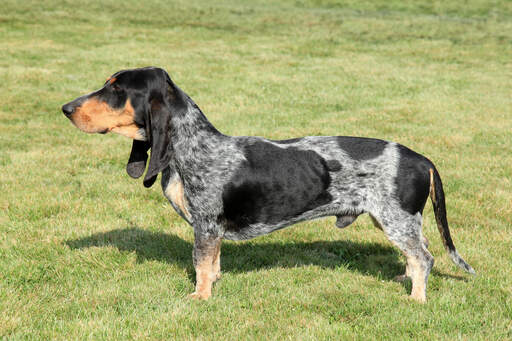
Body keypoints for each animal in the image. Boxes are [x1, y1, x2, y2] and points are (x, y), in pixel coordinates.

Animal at [61, 65, 476, 300]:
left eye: (116, 89)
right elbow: (212, 264)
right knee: (418, 253)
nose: (65, 108)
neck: (192, 145)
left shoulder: (206, 225)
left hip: (396, 220)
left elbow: (201, 265)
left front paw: (199, 299)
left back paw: (416, 299)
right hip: (396, 221)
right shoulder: (211, 231)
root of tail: (422, 159)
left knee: (425, 257)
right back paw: (404, 279)